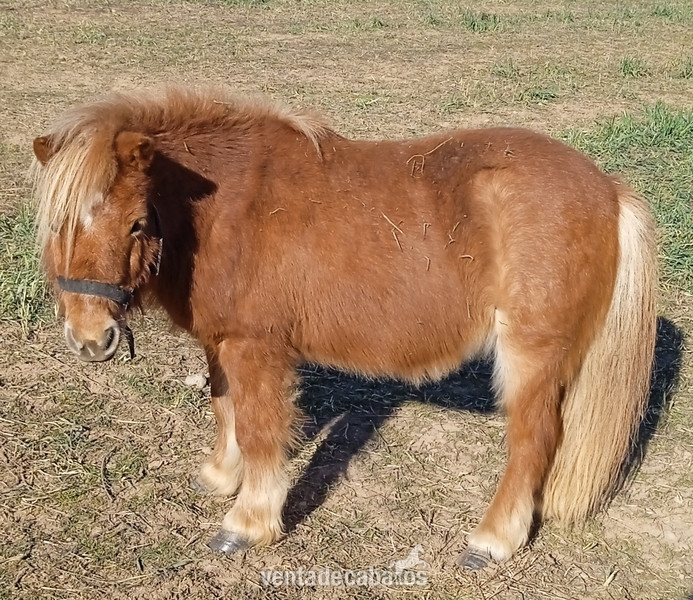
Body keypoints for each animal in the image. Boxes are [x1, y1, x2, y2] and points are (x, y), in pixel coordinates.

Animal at [31, 86, 657, 569]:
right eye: (58, 225)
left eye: (137, 223)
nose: (92, 340)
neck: (228, 208)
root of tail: (609, 190)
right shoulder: (222, 341)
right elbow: (224, 408)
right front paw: (220, 476)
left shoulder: (257, 347)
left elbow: (258, 428)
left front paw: (247, 524)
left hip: (530, 354)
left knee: (533, 440)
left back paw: (492, 541)